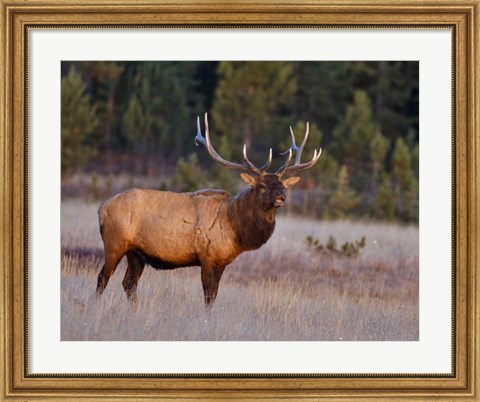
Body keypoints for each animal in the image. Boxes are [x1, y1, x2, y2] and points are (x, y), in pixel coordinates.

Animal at [96, 113, 322, 304]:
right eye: (262, 185)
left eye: (282, 185)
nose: (281, 197)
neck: (235, 228)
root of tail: (101, 207)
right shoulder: (206, 256)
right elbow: (208, 294)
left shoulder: (221, 262)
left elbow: (214, 296)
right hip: (114, 243)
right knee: (103, 278)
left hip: (136, 253)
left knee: (128, 284)